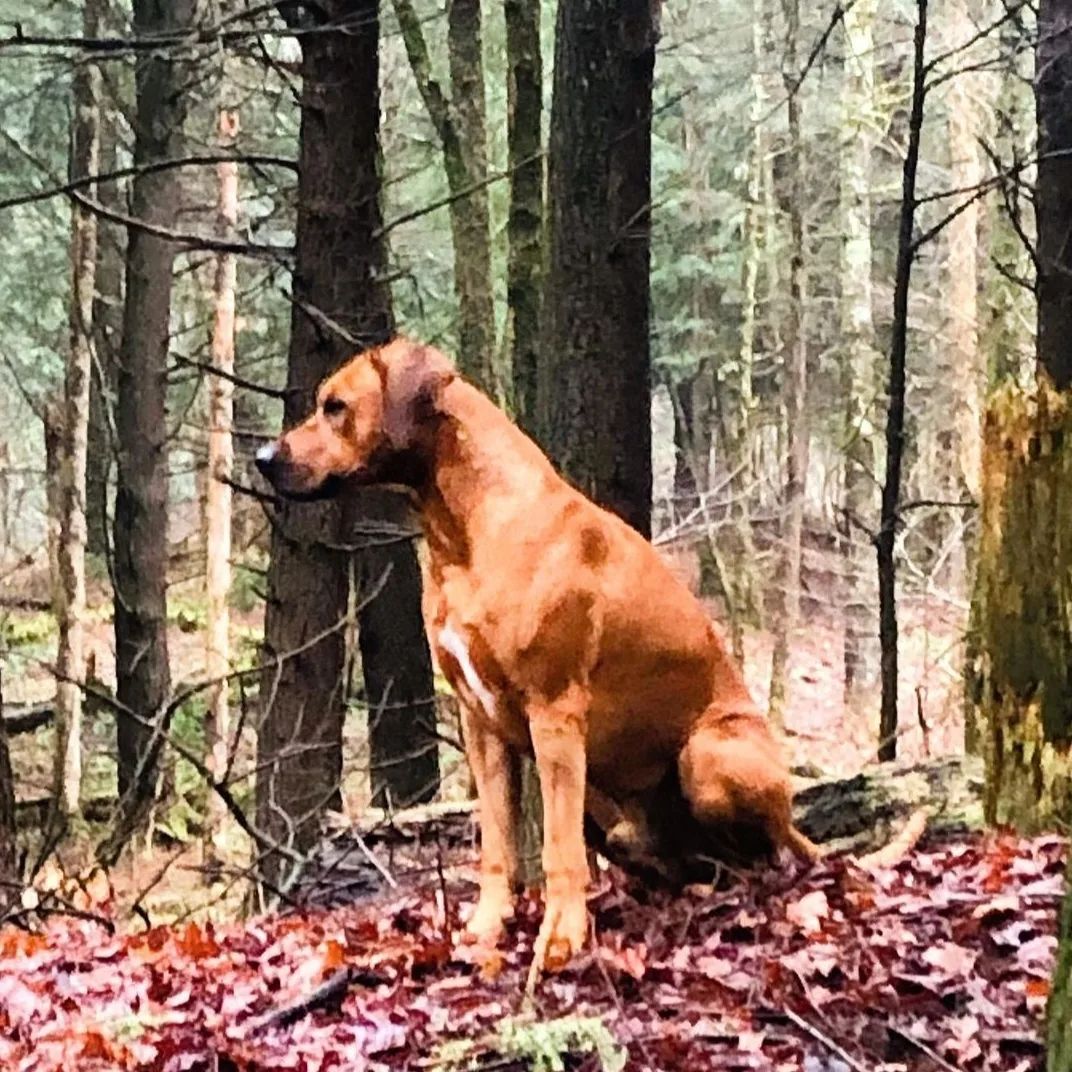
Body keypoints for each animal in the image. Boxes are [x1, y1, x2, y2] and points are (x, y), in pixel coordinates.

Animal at [256, 338, 818, 973]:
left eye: (336, 407)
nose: (263, 457)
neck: (466, 535)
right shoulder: (479, 723)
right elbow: (498, 842)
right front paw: (486, 927)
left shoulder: (554, 712)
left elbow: (557, 848)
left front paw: (560, 938)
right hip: (616, 814)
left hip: (707, 756)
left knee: (773, 851)